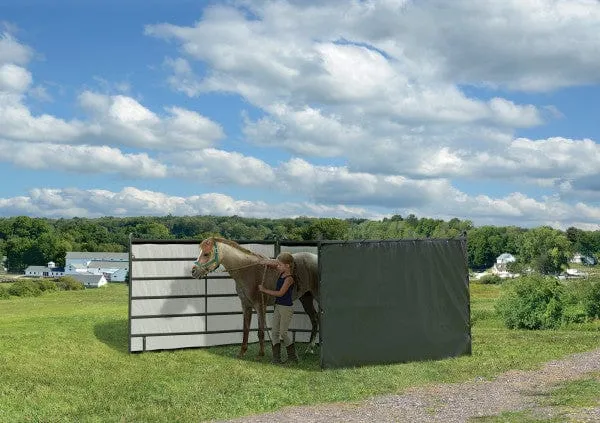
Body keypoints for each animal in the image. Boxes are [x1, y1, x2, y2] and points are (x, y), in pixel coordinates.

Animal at [192, 237, 322, 360]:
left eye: (206, 254)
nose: (193, 271)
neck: (247, 271)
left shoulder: (260, 306)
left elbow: (261, 331)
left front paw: (260, 354)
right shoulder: (246, 305)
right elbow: (246, 329)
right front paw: (242, 352)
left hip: (316, 296)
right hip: (306, 298)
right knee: (314, 319)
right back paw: (309, 348)